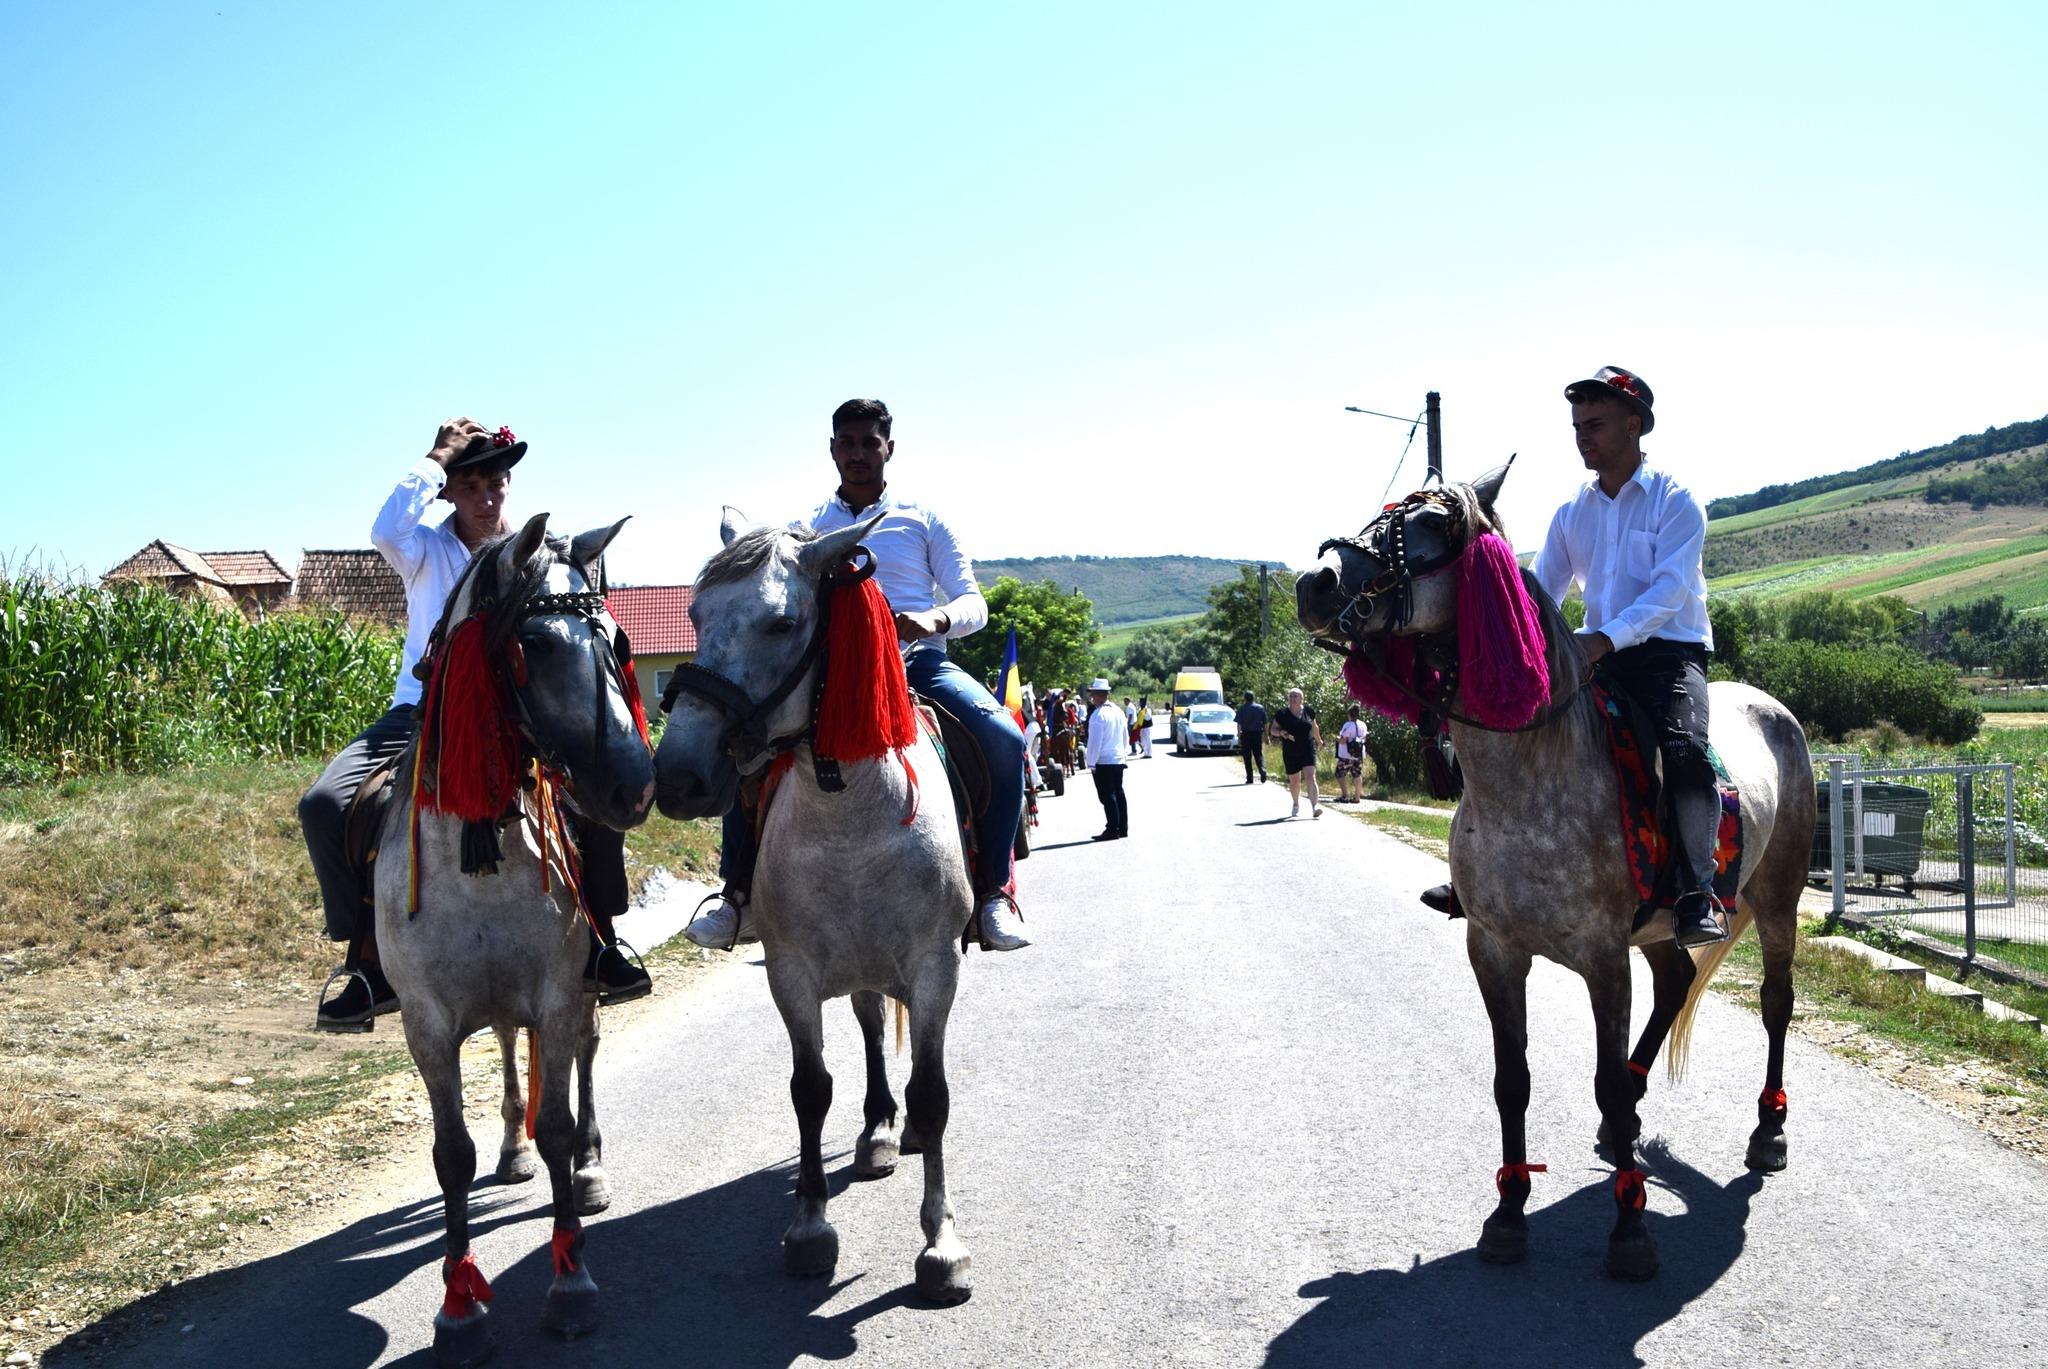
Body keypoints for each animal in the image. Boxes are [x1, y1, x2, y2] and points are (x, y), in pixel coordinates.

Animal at [375, 512, 655, 1364]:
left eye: (616, 641)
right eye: (534, 645)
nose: (636, 785)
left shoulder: (559, 994)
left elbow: (560, 1122)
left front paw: (571, 1282)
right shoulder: (427, 1024)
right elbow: (451, 1155)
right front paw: (459, 1306)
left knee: (584, 1056)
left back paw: (588, 1169)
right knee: (503, 1048)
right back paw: (512, 1151)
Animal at [652, 510, 977, 1305]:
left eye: (782, 622)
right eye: (695, 616)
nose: (678, 775)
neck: (850, 810)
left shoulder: (935, 968)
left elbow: (933, 1093)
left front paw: (941, 1244)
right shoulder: (791, 972)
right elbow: (811, 1090)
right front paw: (809, 1227)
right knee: (870, 1029)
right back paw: (880, 1131)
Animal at [1295, 466, 1813, 1282]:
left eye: (1434, 524)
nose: (1314, 583)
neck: (1531, 775)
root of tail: (1773, 709)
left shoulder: (1603, 959)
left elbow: (1602, 1073)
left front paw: (1629, 1230)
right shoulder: (1495, 951)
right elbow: (1513, 1080)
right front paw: (1508, 1213)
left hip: (1778, 898)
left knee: (1775, 1004)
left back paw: (1768, 1131)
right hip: (1659, 929)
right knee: (1674, 982)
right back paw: (1628, 1114)